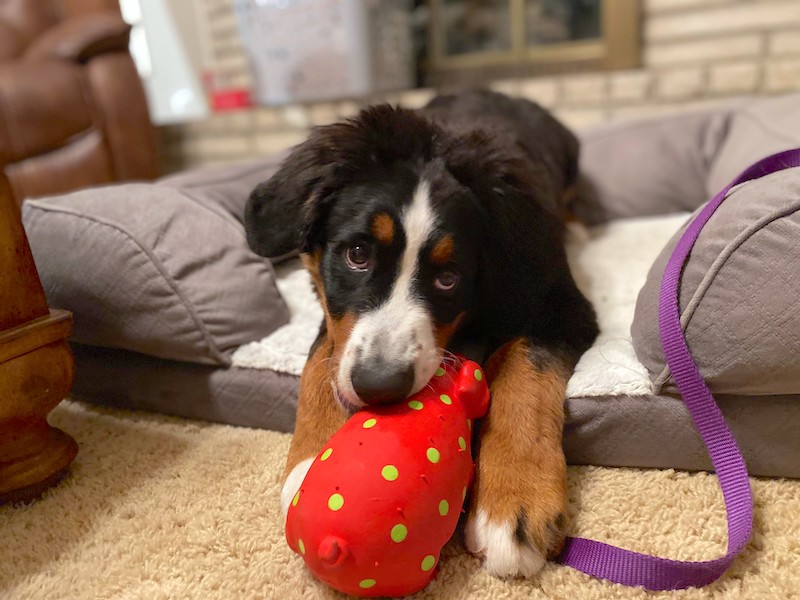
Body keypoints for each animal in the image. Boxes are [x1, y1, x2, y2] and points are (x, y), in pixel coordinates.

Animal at [247, 88, 596, 576]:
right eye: (357, 254)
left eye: (448, 278)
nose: (380, 386)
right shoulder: (333, 310)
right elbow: (320, 357)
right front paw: (309, 461)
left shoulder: (560, 306)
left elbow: (524, 371)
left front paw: (514, 502)